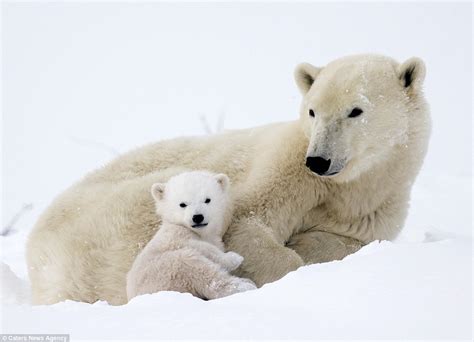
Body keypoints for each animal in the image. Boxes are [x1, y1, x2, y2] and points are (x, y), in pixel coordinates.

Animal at [126, 170, 258, 300]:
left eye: (207, 200)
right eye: (182, 204)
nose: (198, 217)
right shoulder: (175, 236)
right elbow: (202, 248)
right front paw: (233, 258)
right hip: (165, 272)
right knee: (197, 268)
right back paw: (244, 285)